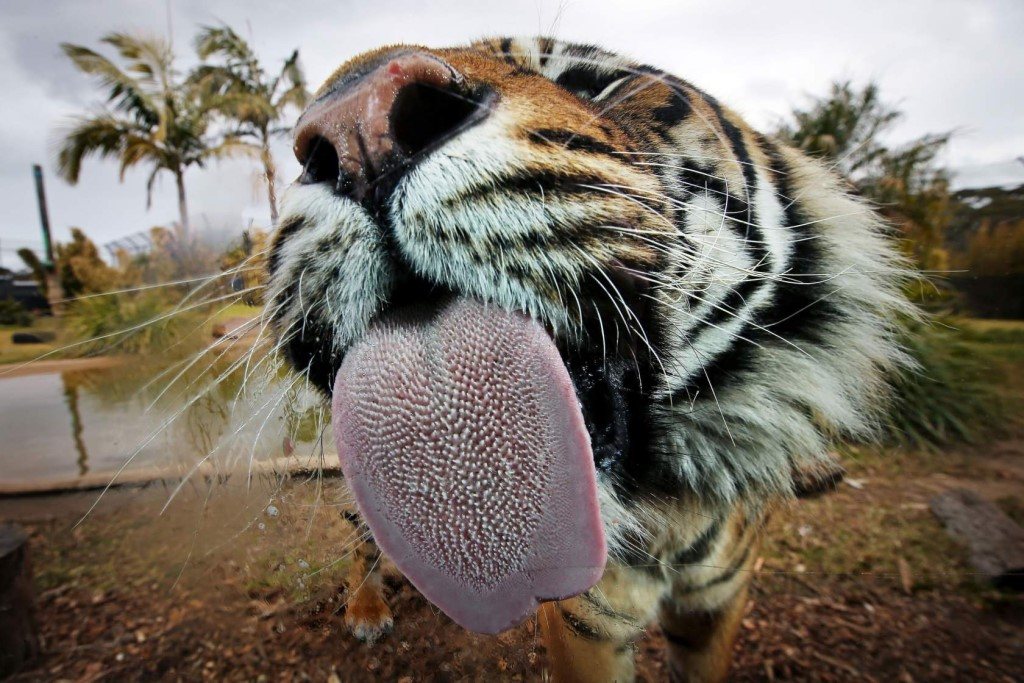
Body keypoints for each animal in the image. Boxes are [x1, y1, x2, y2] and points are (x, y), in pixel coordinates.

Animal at [264, 37, 913, 683]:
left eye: (589, 84)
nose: (354, 124)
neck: (668, 514)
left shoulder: (718, 604)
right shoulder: (585, 628)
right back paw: (366, 610)